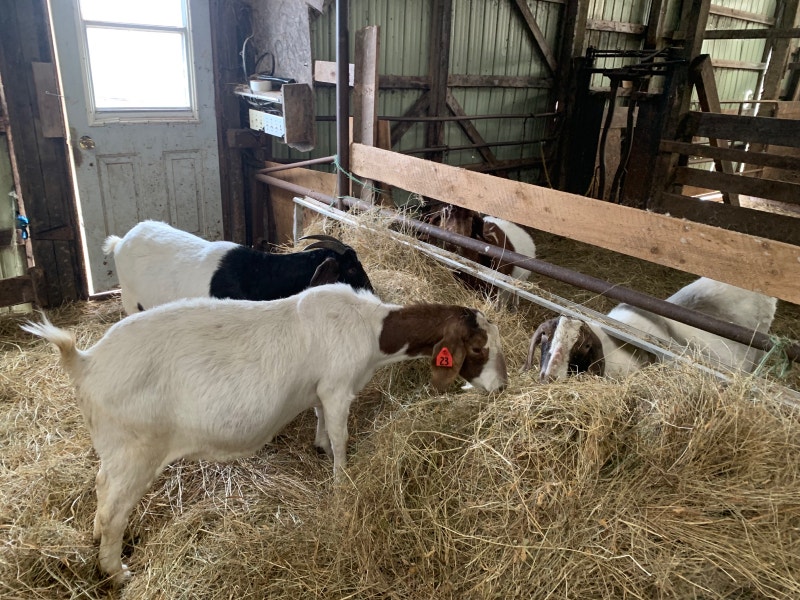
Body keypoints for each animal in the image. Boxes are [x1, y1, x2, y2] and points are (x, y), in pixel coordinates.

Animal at [22, 283, 507, 584]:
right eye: (477, 347)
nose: (501, 387)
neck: (371, 330)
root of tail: (85, 363)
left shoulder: (318, 390)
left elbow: (321, 423)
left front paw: (318, 446)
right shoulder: (337, 388)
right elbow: (341, 439)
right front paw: (341, 485)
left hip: (117, 450)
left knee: (101, 492)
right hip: (134, 450)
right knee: (113, 511)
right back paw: (116, 571)